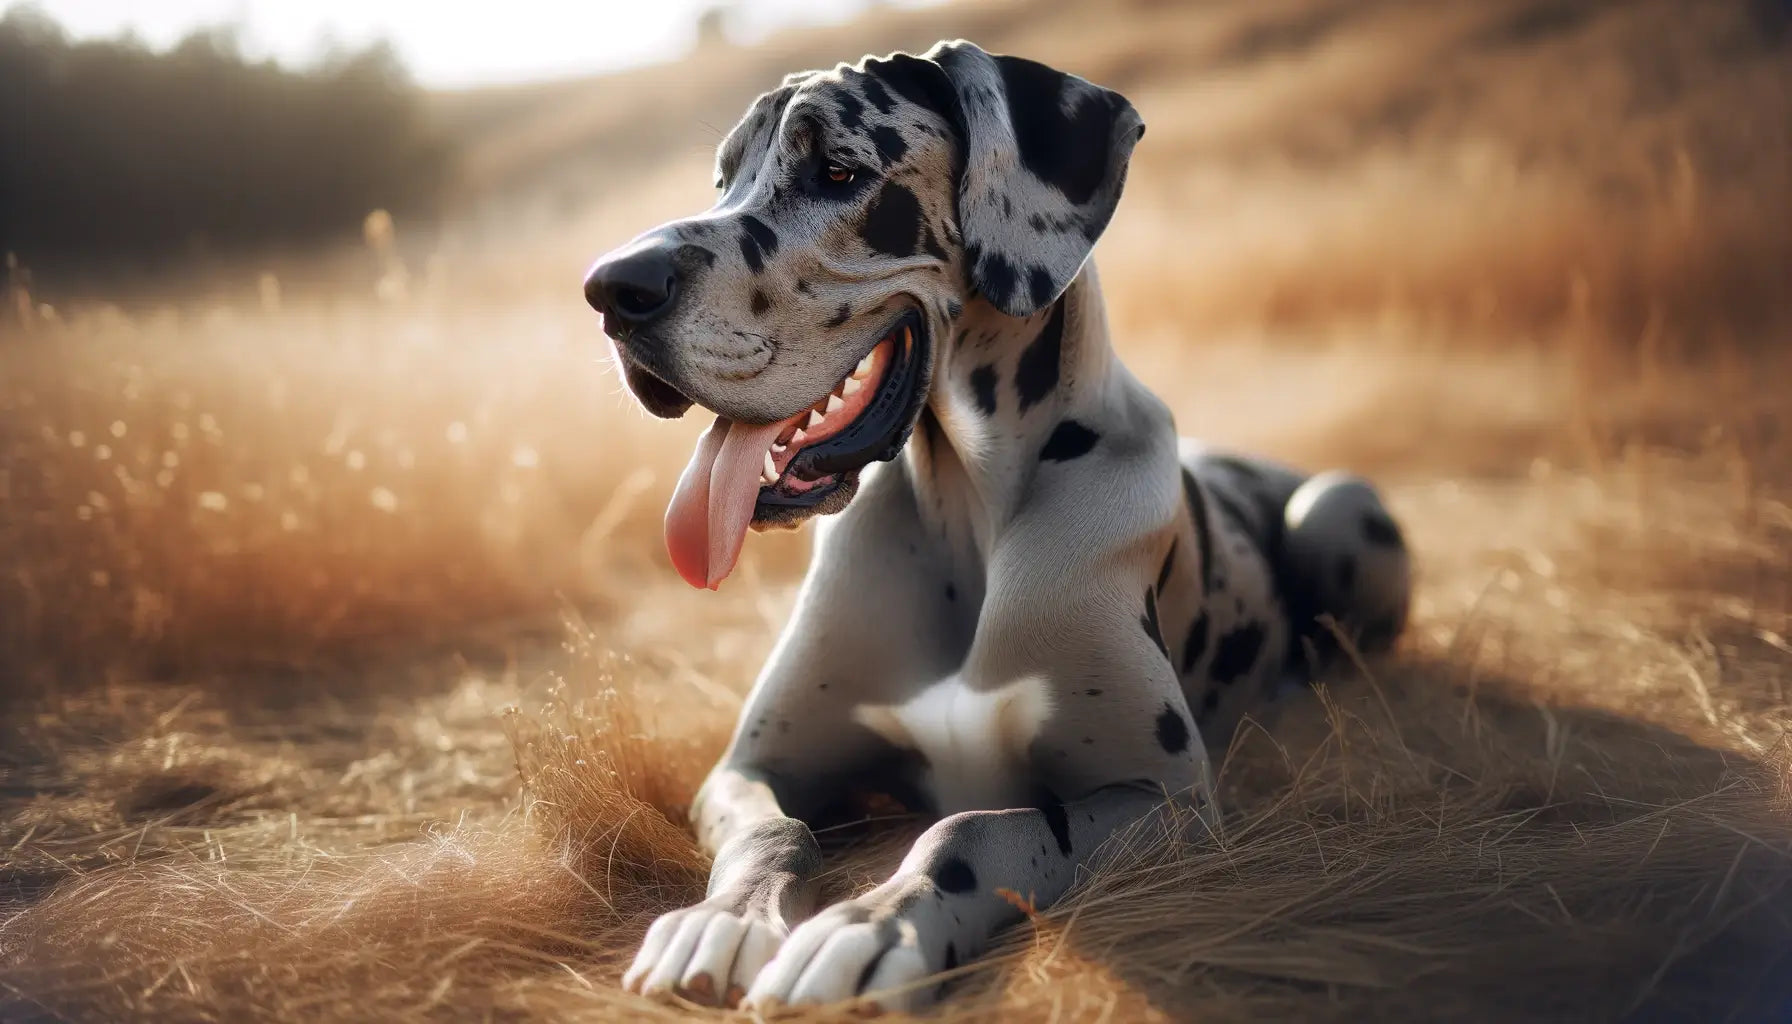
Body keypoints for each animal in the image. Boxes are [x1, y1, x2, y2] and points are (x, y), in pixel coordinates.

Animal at [580, 42, 1404, 1018]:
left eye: (838, 171)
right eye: (723, 177)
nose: (610, 288)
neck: (968, 517)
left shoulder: (1163, 799)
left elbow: (982, 828)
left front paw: (871, 930)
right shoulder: (750, 768)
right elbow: (773, 835)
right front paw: (726, 922)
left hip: (1336, 513)